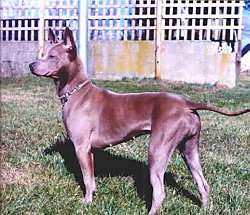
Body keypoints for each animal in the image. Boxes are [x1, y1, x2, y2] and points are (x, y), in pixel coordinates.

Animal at [29, 27, 250, 214]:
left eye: (52, 56)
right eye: (42, 53)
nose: (31, 65)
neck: (76, 91)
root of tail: (186, 103)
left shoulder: (82, 148)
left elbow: (87, 179)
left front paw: (87, 202)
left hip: (157, 150)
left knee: (160, 192)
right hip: (190, 150)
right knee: (203, 184)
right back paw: (204, 208)